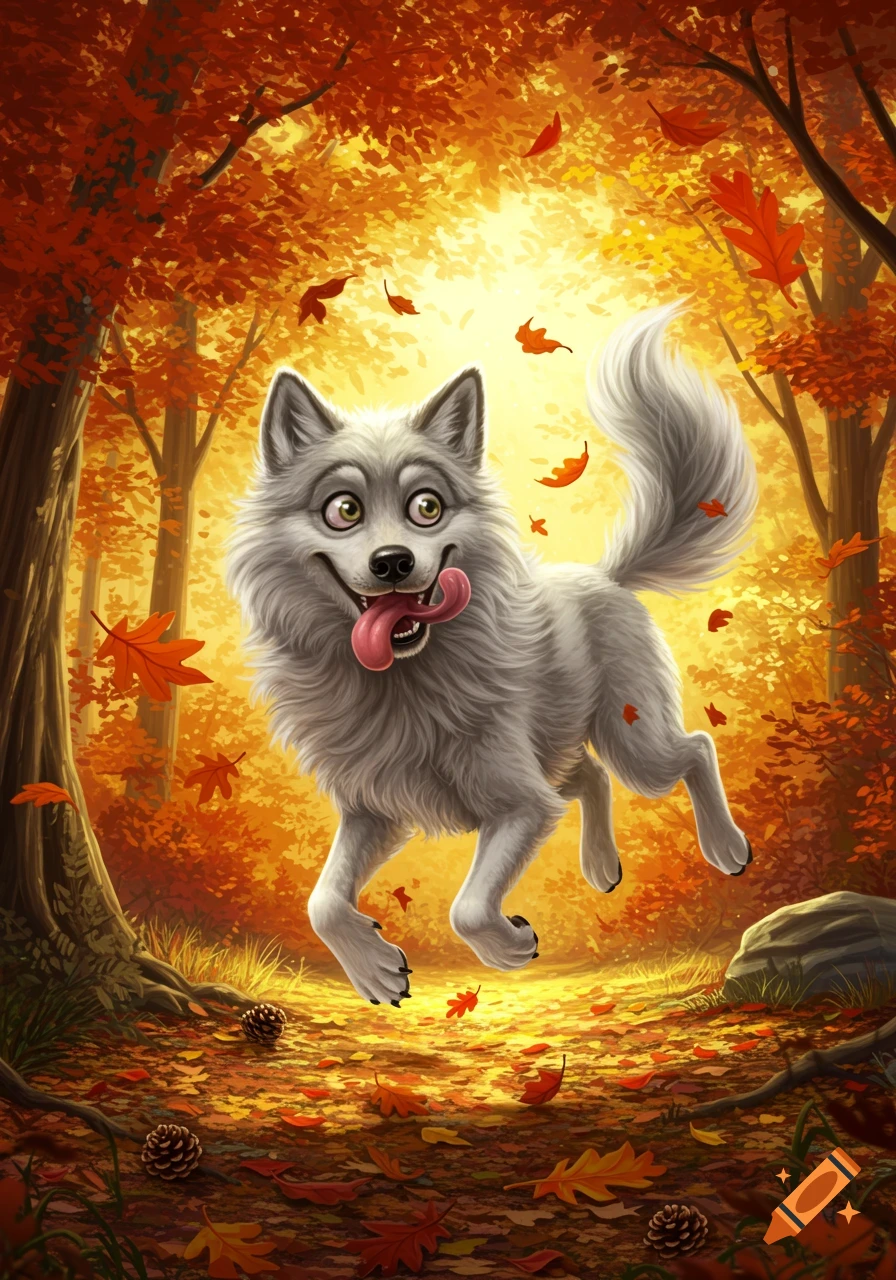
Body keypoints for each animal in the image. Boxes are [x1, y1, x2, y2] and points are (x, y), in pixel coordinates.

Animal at [227, 305, 757, 1006]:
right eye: (343, 510)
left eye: (427, 506)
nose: (393, 562)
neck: (402, 685)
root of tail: (605, 577)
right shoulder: (375, 809)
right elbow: (322, 901)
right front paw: (374, 968)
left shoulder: (518, 805)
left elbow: (468, 907)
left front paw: (507, 946)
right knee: (589, 777)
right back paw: (601, 864)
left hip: (634, 741)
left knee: (693, 748)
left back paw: (725, 846)